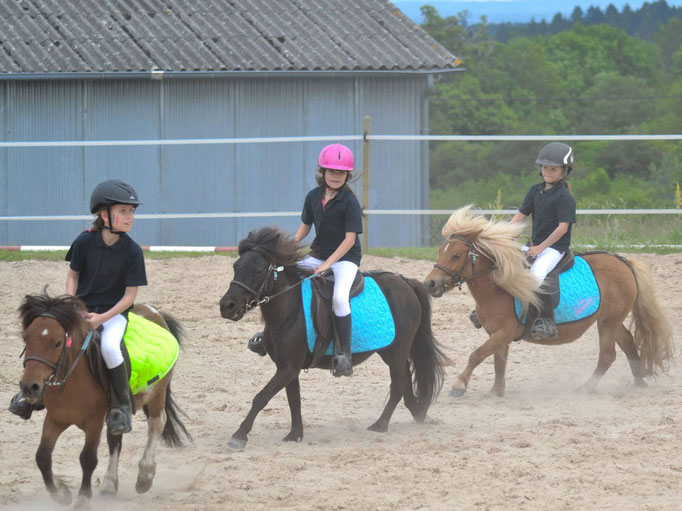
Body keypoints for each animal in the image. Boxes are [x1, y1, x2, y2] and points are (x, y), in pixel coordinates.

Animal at [18, 292, 189, 508]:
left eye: (57, 343)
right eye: (26, 338)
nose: (29, 387)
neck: (72, 380)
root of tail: (155, 312)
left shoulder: (94, 421)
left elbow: (88, 458)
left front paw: (83, 499)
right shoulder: (55, 418)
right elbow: (42, 456)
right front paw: (61, 493)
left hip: (157, 392)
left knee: (157, 424)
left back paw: (145, 476)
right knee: (115, 438)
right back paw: (109, 485)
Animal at [220, 226, 448, 450]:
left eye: (258, 270)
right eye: (235, 266)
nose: (227, 306)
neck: (290, 309)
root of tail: (405, 281)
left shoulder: (287, 368)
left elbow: (261, 397)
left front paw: (239, 436)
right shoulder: (288, 368)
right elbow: (294, 399)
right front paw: (295, 434)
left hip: (397, 351)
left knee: (398, 385)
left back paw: (381, 424)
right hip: (389, 351)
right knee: (405, 381)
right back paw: (417, 413)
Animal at [422, 206, 672, 398]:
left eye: (456, 255)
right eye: (440, 251)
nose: (430, 284)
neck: (499, 287)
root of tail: (623, 261)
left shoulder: (503, 332)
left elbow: (477, 355)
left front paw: (459, 385)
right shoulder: (498, 334)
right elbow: (498, 361)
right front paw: (496, 391)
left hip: (609, 322)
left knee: (607, 356)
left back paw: (586, 388)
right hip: (610, 320)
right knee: (628, 342)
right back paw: (639, 381)